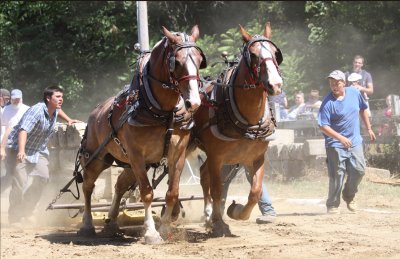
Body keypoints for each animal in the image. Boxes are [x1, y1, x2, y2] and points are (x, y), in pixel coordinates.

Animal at [79, 25, 208, 245]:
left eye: (200, 60)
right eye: (177, 62)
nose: (194, 102)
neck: (163, 113)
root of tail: (95, 112)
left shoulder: (177, 154)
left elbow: (172, 193)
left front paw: (165, 228)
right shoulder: (137, 156)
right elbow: (147, 193)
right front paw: (151, 233)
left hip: (128, 163)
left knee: (119, 184)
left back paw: (112, 221)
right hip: (98, 158)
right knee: (88, 185)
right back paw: (87, 224)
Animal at [191, 22, 282, 238]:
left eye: (275, 53)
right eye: (254, 55)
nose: (275, 84)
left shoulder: (256, 158)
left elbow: (255, 192)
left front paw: (237, 211)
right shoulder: (217, 157)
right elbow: (217, 190)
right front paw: (219, 224)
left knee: (204, 174)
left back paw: (208, 215)